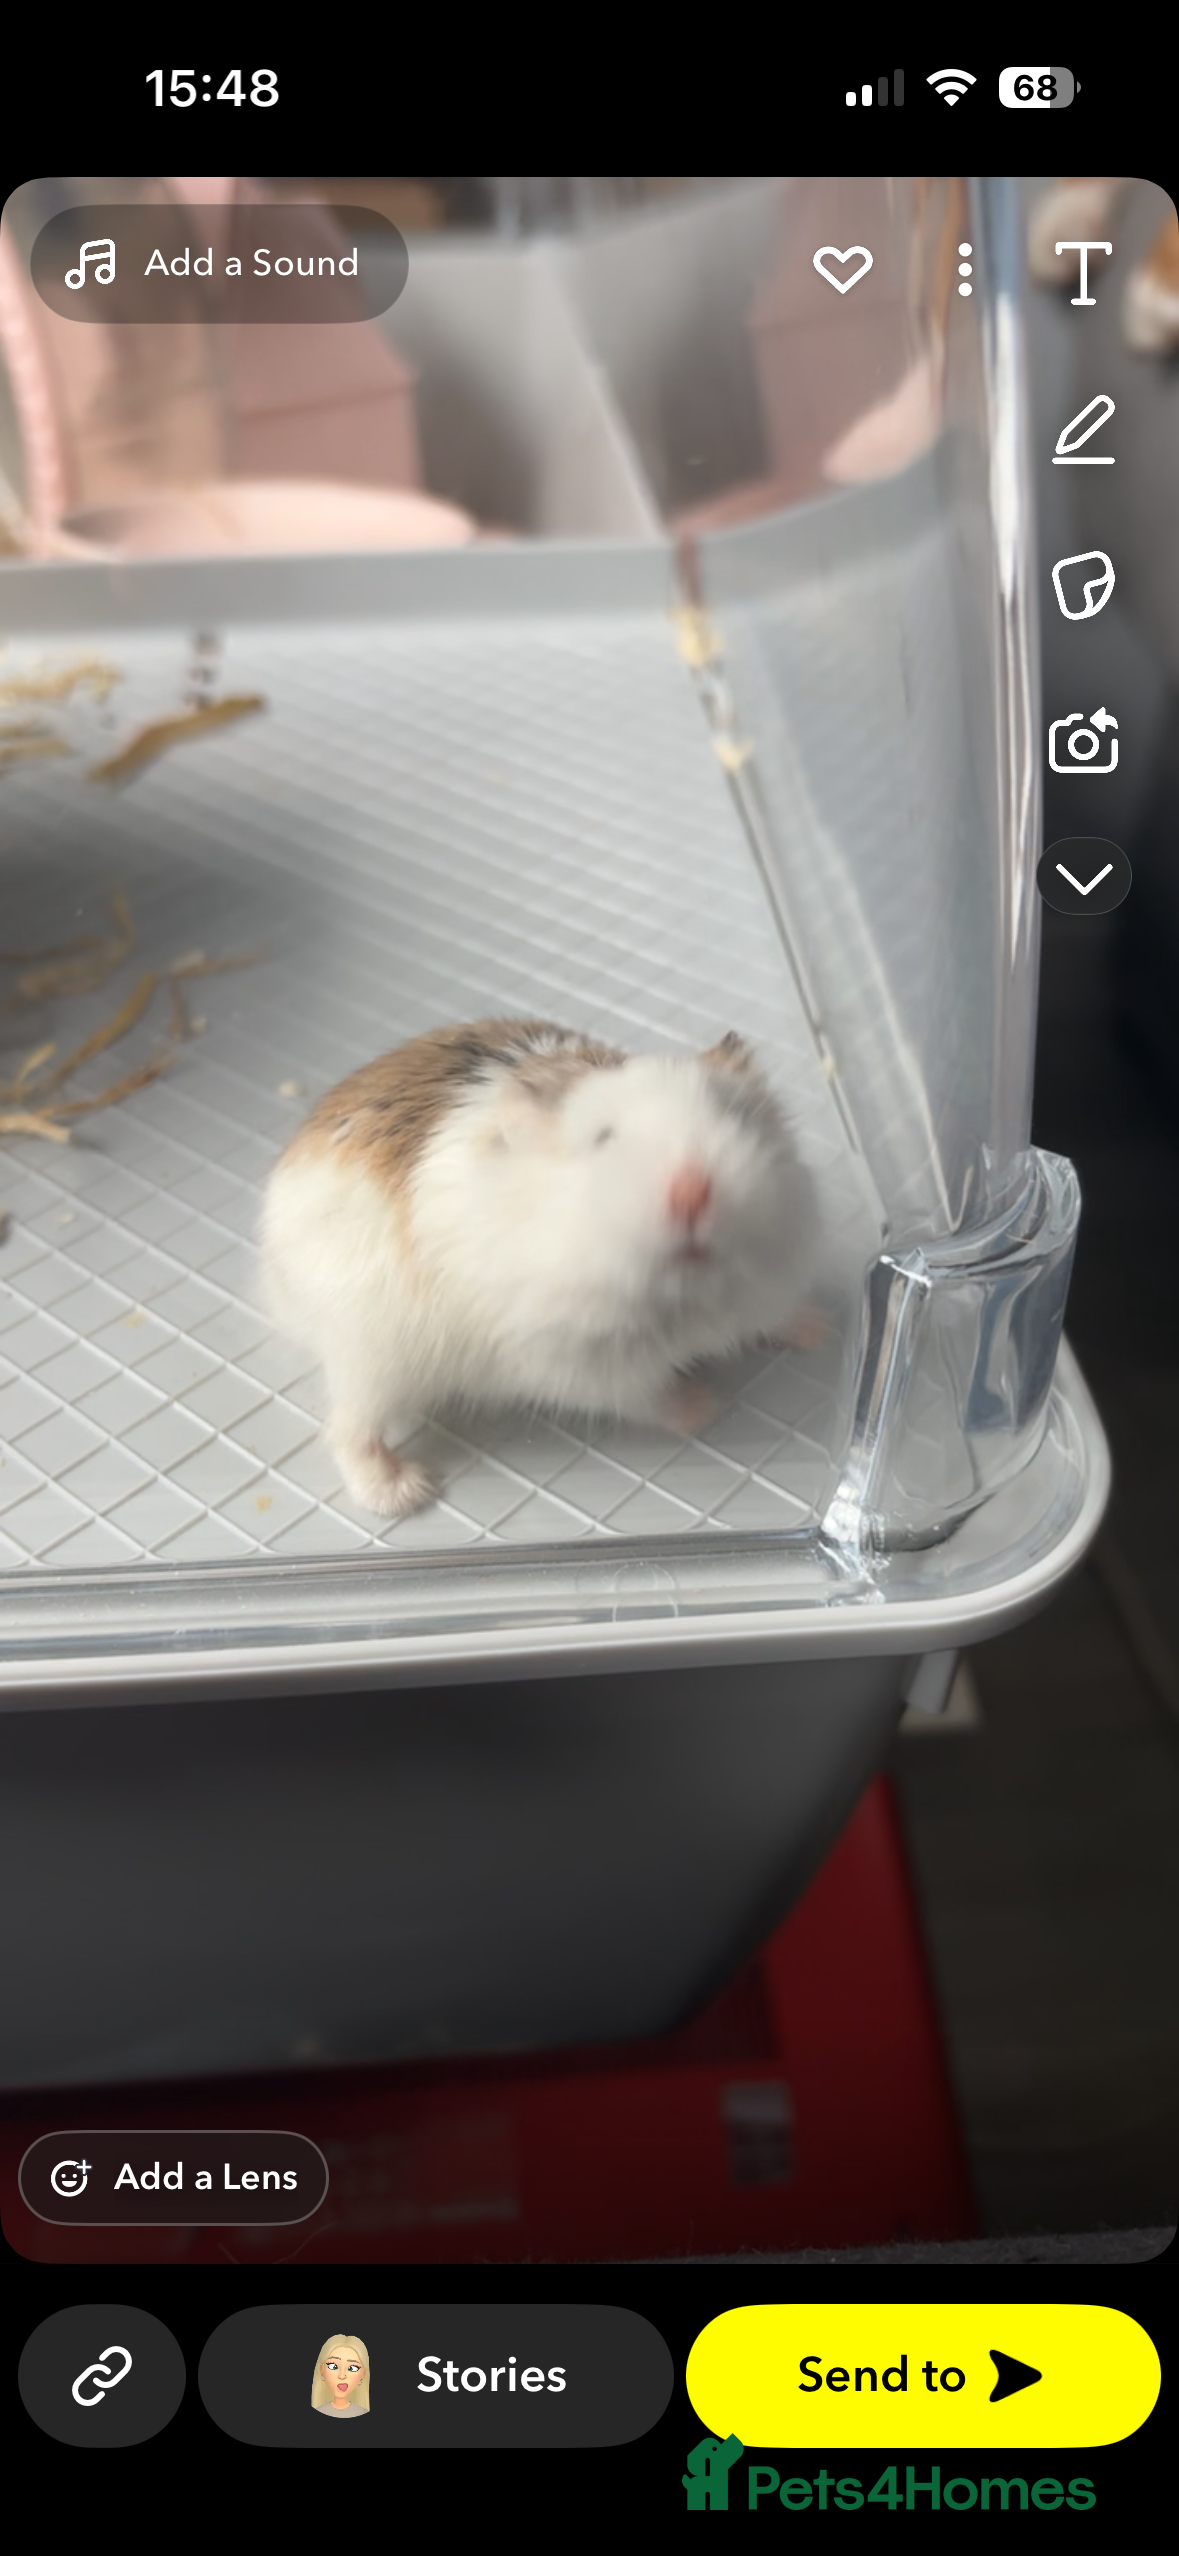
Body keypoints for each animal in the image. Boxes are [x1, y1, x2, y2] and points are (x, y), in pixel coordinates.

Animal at [259, 1019, 821, 1518]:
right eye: (603, 1138)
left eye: (737, 1115)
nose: (693, 1194)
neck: (684, 1290)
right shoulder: (585, 1368)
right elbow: (651, 1397)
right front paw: (706, 1407)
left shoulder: (766, 1288)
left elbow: (772, 1317)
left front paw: (822, 1332)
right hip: (371, 1359)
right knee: (348, 1431)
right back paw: (405, 1493)